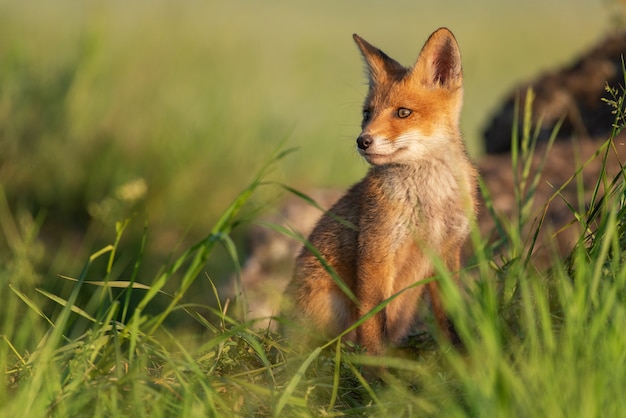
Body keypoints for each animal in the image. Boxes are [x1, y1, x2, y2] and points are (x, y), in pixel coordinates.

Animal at [284, 27, 478, 354]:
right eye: (367, 113)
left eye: (403, 112)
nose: (363, 141)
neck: (430, 203)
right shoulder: (377, 252)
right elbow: (374, 323)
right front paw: (378, 365)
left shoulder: (447, 252)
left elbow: (450, 320)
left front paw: (460, 357)